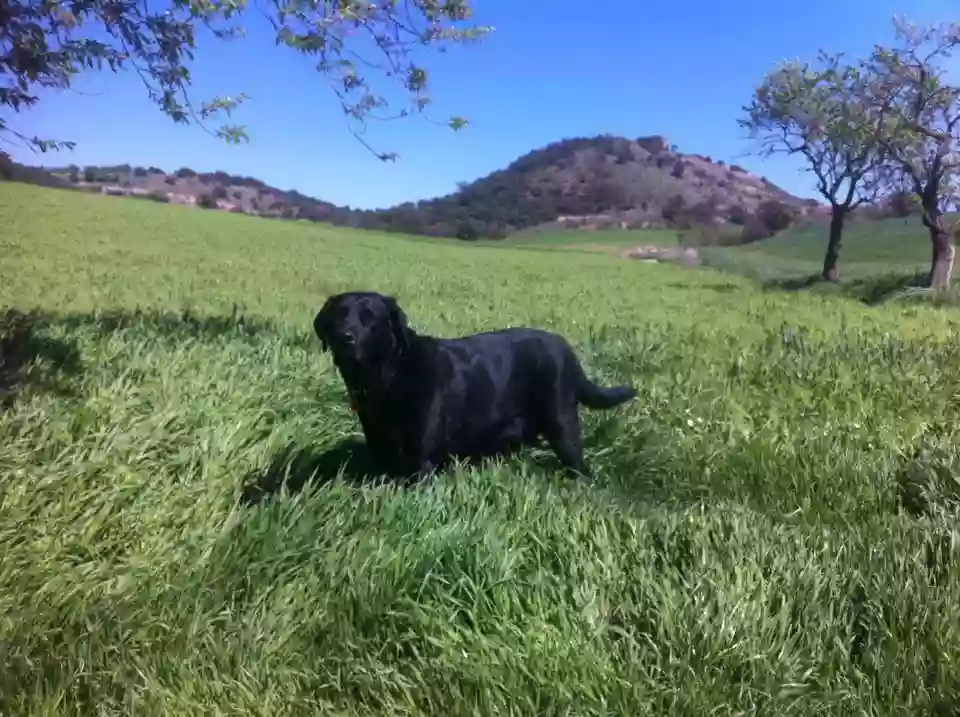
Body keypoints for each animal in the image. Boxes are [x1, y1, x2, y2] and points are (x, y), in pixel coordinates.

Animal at [312, 290, 632, 482]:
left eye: (371, 318)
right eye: (338, 315)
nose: (344, 337)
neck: (389, 374)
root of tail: (565, 347)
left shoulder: (421, 463)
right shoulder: (381, 453)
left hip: (562, 424)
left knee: (580, 466)